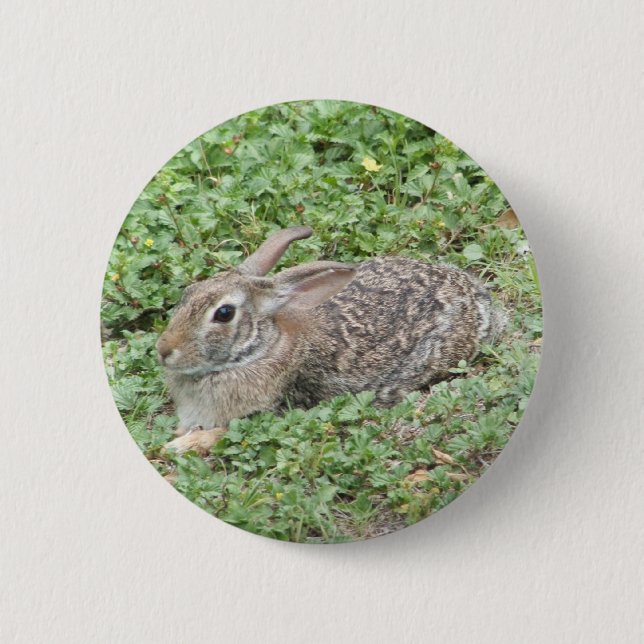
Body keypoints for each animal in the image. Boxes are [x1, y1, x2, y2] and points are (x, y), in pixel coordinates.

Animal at [157, 226, 505, 454]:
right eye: (188, 292)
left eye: (224, 313)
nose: (163, 350)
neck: (257, 351)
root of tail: (476, 296)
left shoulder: (276, 411)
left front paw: (179, 445)